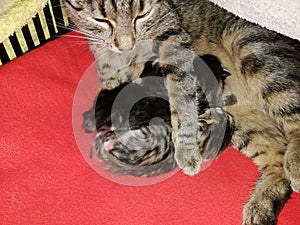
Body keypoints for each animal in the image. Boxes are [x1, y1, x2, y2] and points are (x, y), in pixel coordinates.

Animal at [63, 0, 298, 225]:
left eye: (142, 15)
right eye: (101, 20)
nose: (126, 45)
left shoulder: (172, 43)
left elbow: (180, 96)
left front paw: (187, 150)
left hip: (254, 50)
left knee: (293, 119)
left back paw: (294, 167)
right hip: (243, 117)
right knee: (277, 153)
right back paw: (261, 205)